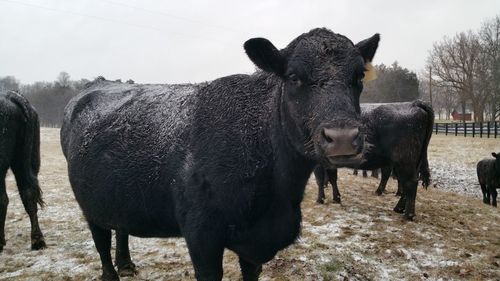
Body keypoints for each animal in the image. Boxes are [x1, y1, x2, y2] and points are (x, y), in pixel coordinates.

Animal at [59, 28, 378, 280]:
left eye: (359, 76)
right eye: (293, 77)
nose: (342, 138)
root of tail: (99, 82)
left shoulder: (255, 246)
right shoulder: (202, 237)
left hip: (117, 195)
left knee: (120, 228)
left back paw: (126, 264)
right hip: (89, 202)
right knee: (101, 240)